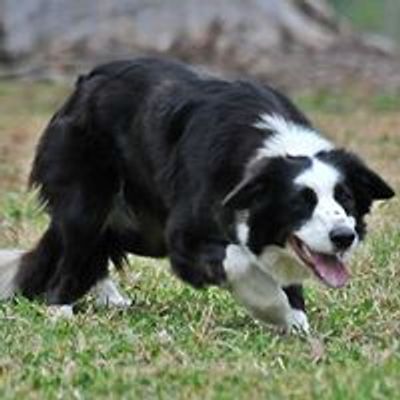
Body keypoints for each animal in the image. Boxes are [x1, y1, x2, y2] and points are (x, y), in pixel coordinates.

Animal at [0, 56, 394, 332]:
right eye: (301, 201)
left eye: (345, 198)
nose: (343, 237)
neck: (270, 152)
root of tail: (80, 89)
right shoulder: (184, 235)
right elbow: (239, 260)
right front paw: (273, 308)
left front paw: (295, 318)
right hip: (87, 195)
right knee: (76, 247)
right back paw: (61, 308)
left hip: (142, 227)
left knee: (98, 249)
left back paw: (110, 299)